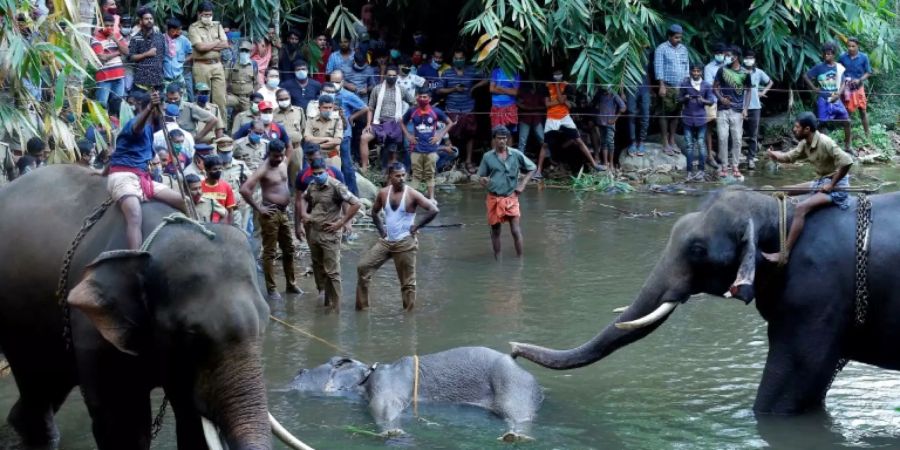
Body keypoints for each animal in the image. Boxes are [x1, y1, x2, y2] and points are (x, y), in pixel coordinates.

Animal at [0, 166, 310, 450]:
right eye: (190, 334)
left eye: (265, 322)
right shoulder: (92, 330)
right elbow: (123, 425)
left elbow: (192, 424)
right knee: (37, 380)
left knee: (50, 383)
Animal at [288, 348, 540, 440]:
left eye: (303, 372)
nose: (298, 371)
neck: (365, 376)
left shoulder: (386, 386)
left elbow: (384, 409)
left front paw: (392, 432)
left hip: (513, 386)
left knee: (517, 415)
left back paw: (515, 436)